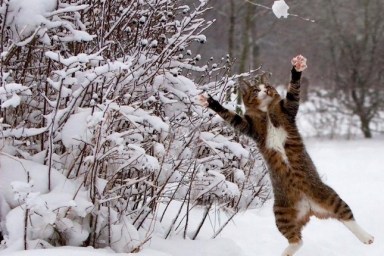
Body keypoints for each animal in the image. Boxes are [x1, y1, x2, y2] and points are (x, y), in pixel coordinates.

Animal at [200, 55, 374, 256]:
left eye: (267, 86)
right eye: (255, 89)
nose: (266, 89)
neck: (266, 111)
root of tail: (309, 208)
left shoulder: (288, 110)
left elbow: (293, 93)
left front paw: (297, 67)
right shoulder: (249, 127)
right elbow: (231, 117)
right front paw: (210, 102)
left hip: (329, 196)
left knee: (347, 217)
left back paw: (367, 237)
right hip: (281, 215)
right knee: (297, 240)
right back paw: (287, 252)